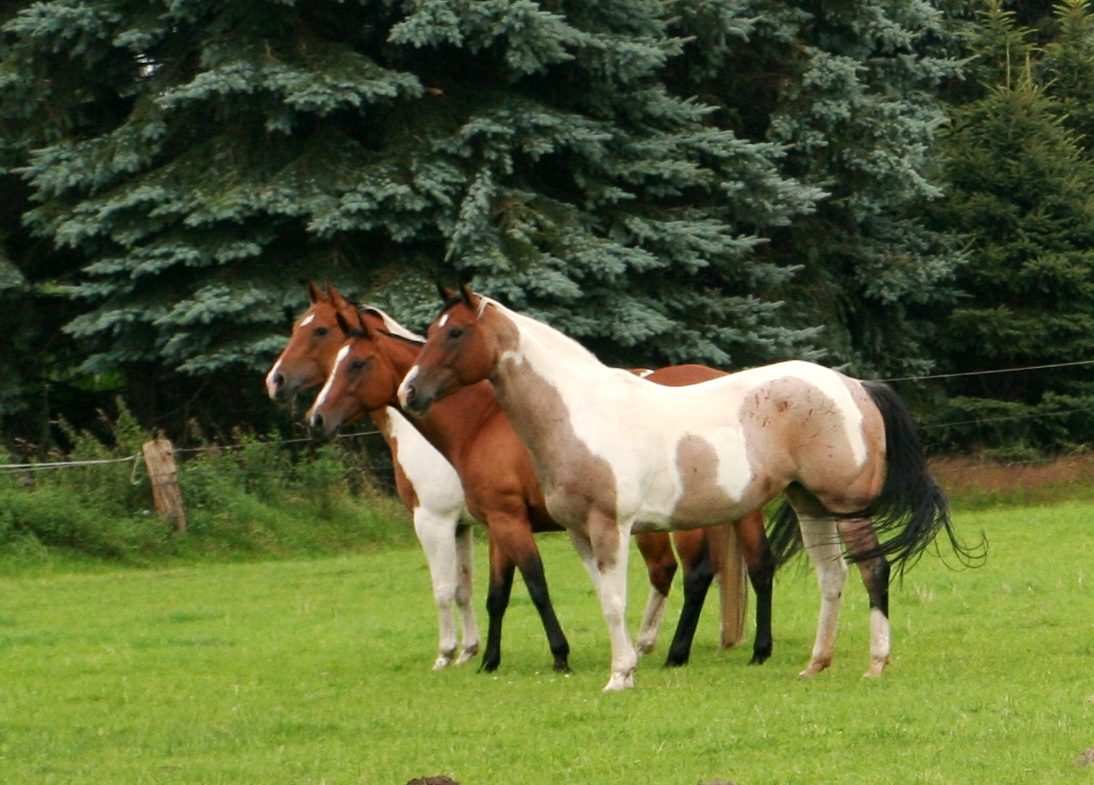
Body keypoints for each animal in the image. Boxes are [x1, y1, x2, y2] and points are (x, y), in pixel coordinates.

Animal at [266, 283, 480, 671]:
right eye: (295, 327)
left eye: (320, 330)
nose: (275, 381)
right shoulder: (461, 526)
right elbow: (463, 588)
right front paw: (469, 650)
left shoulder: (434, 521)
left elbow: (442, 590)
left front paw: (445, 654)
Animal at [306, 293, 773, 670]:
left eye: (356, 361)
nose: (316, 418)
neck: (481, 422)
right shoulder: (493, 523)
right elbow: (493, 592)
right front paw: (487, 660)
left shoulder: (463, 520)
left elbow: (524, 585)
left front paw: (556, 655)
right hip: (737, 509)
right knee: (756, 565)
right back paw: (749, 650)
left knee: (695, 574)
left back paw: (672, 652)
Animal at [397, 286, 982, 691]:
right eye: (431, 329)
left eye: (455, 333)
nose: (409, 393)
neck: (582, 412)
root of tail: (853, 385)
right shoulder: (580, 533)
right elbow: (607, 600)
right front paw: (627, 666)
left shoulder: (611, 527)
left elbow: (617, 601)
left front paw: (620, 676)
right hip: (809, 504)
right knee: (833, 578)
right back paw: (815, 665)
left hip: (846, 505)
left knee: (872, 571)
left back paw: (875, 665)